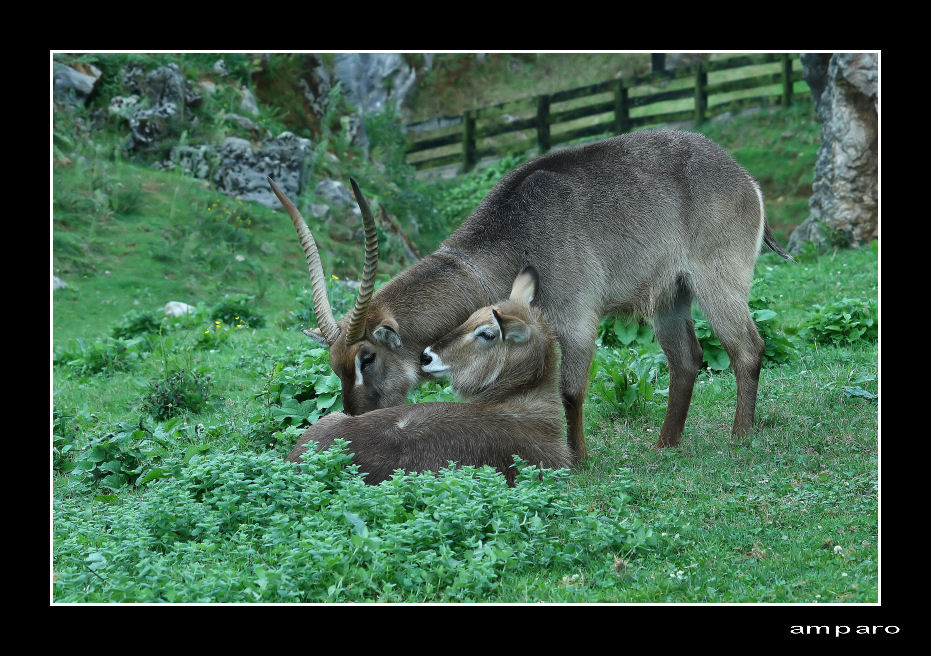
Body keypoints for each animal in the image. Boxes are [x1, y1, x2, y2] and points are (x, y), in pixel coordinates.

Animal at [266, 128, 792, 462]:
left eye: (367, 358)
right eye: (335, 365)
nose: (352, 420)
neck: (509, 238)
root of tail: (744, 175)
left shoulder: (576, 321)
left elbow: (571, 391)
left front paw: (577, 459)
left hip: (717, 283)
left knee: (747, 349)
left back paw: (740, 438)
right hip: (670, 297)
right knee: (686, 359)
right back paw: (666, 445)